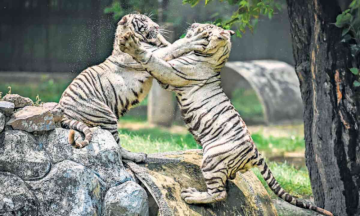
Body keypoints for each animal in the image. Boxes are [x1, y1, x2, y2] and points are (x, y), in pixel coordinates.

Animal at [119, 22, 334, 215]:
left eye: (205, 27)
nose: (193, 24)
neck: (212, 57)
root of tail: (255, 152)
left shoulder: (170, 73)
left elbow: (155, 60)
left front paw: (133, 46)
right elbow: (169, 48)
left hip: (212, 160)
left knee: (219, 193)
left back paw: (192, 196)